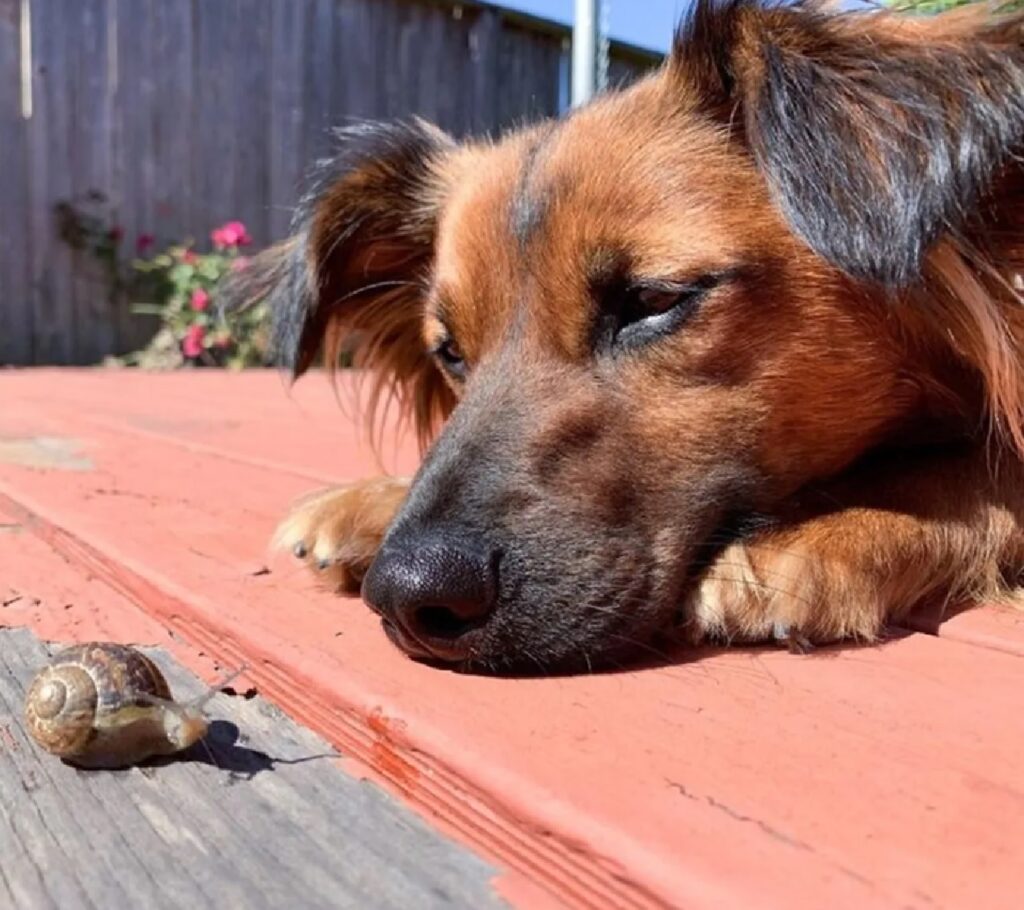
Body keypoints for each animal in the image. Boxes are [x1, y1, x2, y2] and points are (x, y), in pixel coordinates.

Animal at [232, 1, 1024, 675]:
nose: (407, 594)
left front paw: (817, 533)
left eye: (652, 301)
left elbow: (976, 474)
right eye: (451, 352)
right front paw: (374, 498)